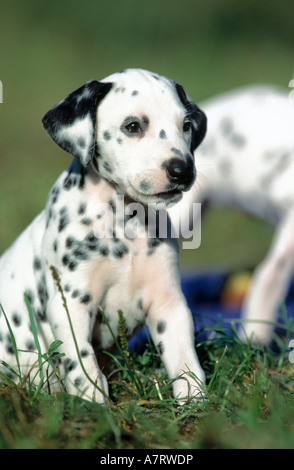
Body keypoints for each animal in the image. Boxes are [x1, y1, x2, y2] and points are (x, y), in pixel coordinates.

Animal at [0, 68, 207, 402]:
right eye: (133, 126)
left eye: (186, 126)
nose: (183, 171)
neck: (125, 223)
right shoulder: (70, 302)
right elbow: (81, 362)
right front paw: (92, 401)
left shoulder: (169, 302)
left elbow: (183, 357)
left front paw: (194, 397)